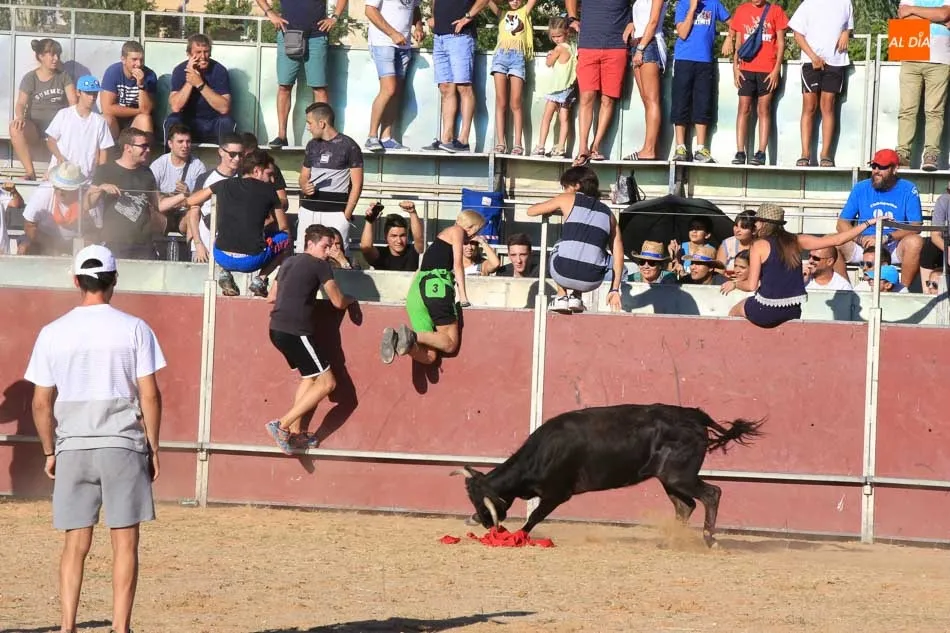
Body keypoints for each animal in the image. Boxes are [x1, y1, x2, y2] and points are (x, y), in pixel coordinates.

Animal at [453, 403, 763, 547]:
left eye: (482, 501)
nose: (481, 521)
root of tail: (694, 415)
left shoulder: (557, 494)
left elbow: (534, 517)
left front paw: (519, 536)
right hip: (669, 480)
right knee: (684, 506)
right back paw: (668, 541)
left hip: (680, 477)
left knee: (712, 494)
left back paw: (711, 540)